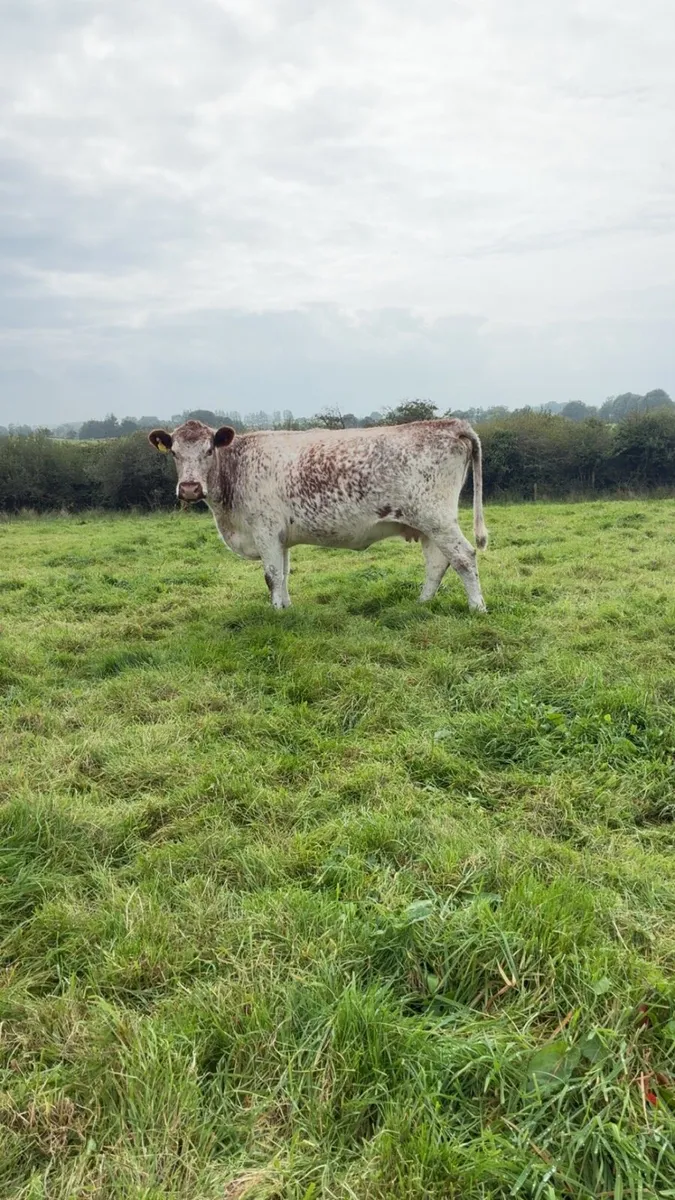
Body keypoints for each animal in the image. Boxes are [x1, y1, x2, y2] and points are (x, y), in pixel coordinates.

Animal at [149, 418, 488, 612]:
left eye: (209, 450)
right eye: (175, 453)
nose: (189, 488)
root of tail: (450, 423)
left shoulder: (265, 529)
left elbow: (271, 575)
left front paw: (276, 613)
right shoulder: (280, 536)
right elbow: (283, 574)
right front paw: (286, 608)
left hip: (436, 518)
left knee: (463, 556)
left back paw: (477, 608)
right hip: (427, 524)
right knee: (437, 562)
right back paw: (422, 604)